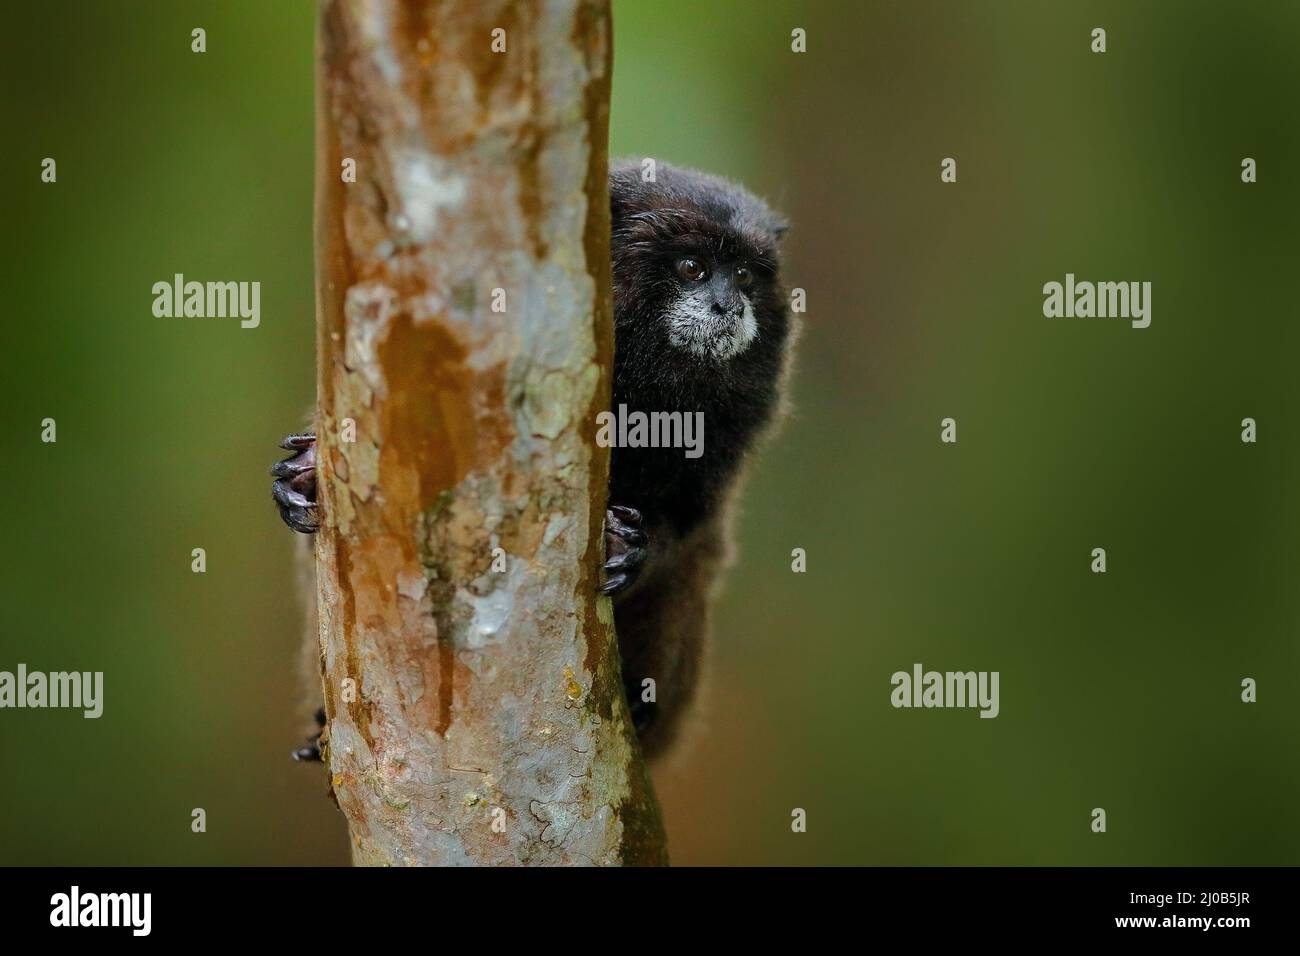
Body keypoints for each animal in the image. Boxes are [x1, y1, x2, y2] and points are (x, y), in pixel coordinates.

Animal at [271, 160, 790, 764]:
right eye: (693, 268)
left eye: (745, 276)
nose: (729, 306)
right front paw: (307, 473)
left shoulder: (734, 422)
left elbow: (691, 523)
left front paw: (633, 547)